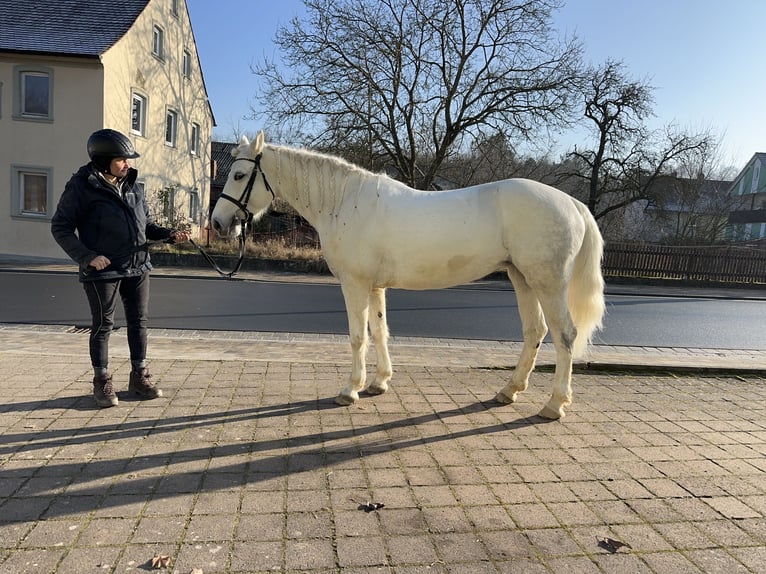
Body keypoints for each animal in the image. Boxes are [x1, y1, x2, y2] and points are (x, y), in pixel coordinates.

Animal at [212, 132, 608, 418]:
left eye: (239, 174)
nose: (218, 222)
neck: (345, 203)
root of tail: (573, 203)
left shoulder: (354, 284)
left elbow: (358, 336)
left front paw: (350, 389)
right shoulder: (375, 287)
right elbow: (380, 331)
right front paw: (378, 383)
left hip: (548, 283)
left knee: (565, 335)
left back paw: (554, 404)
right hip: (522, 279)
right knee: (534, 332)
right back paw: (508, 391)